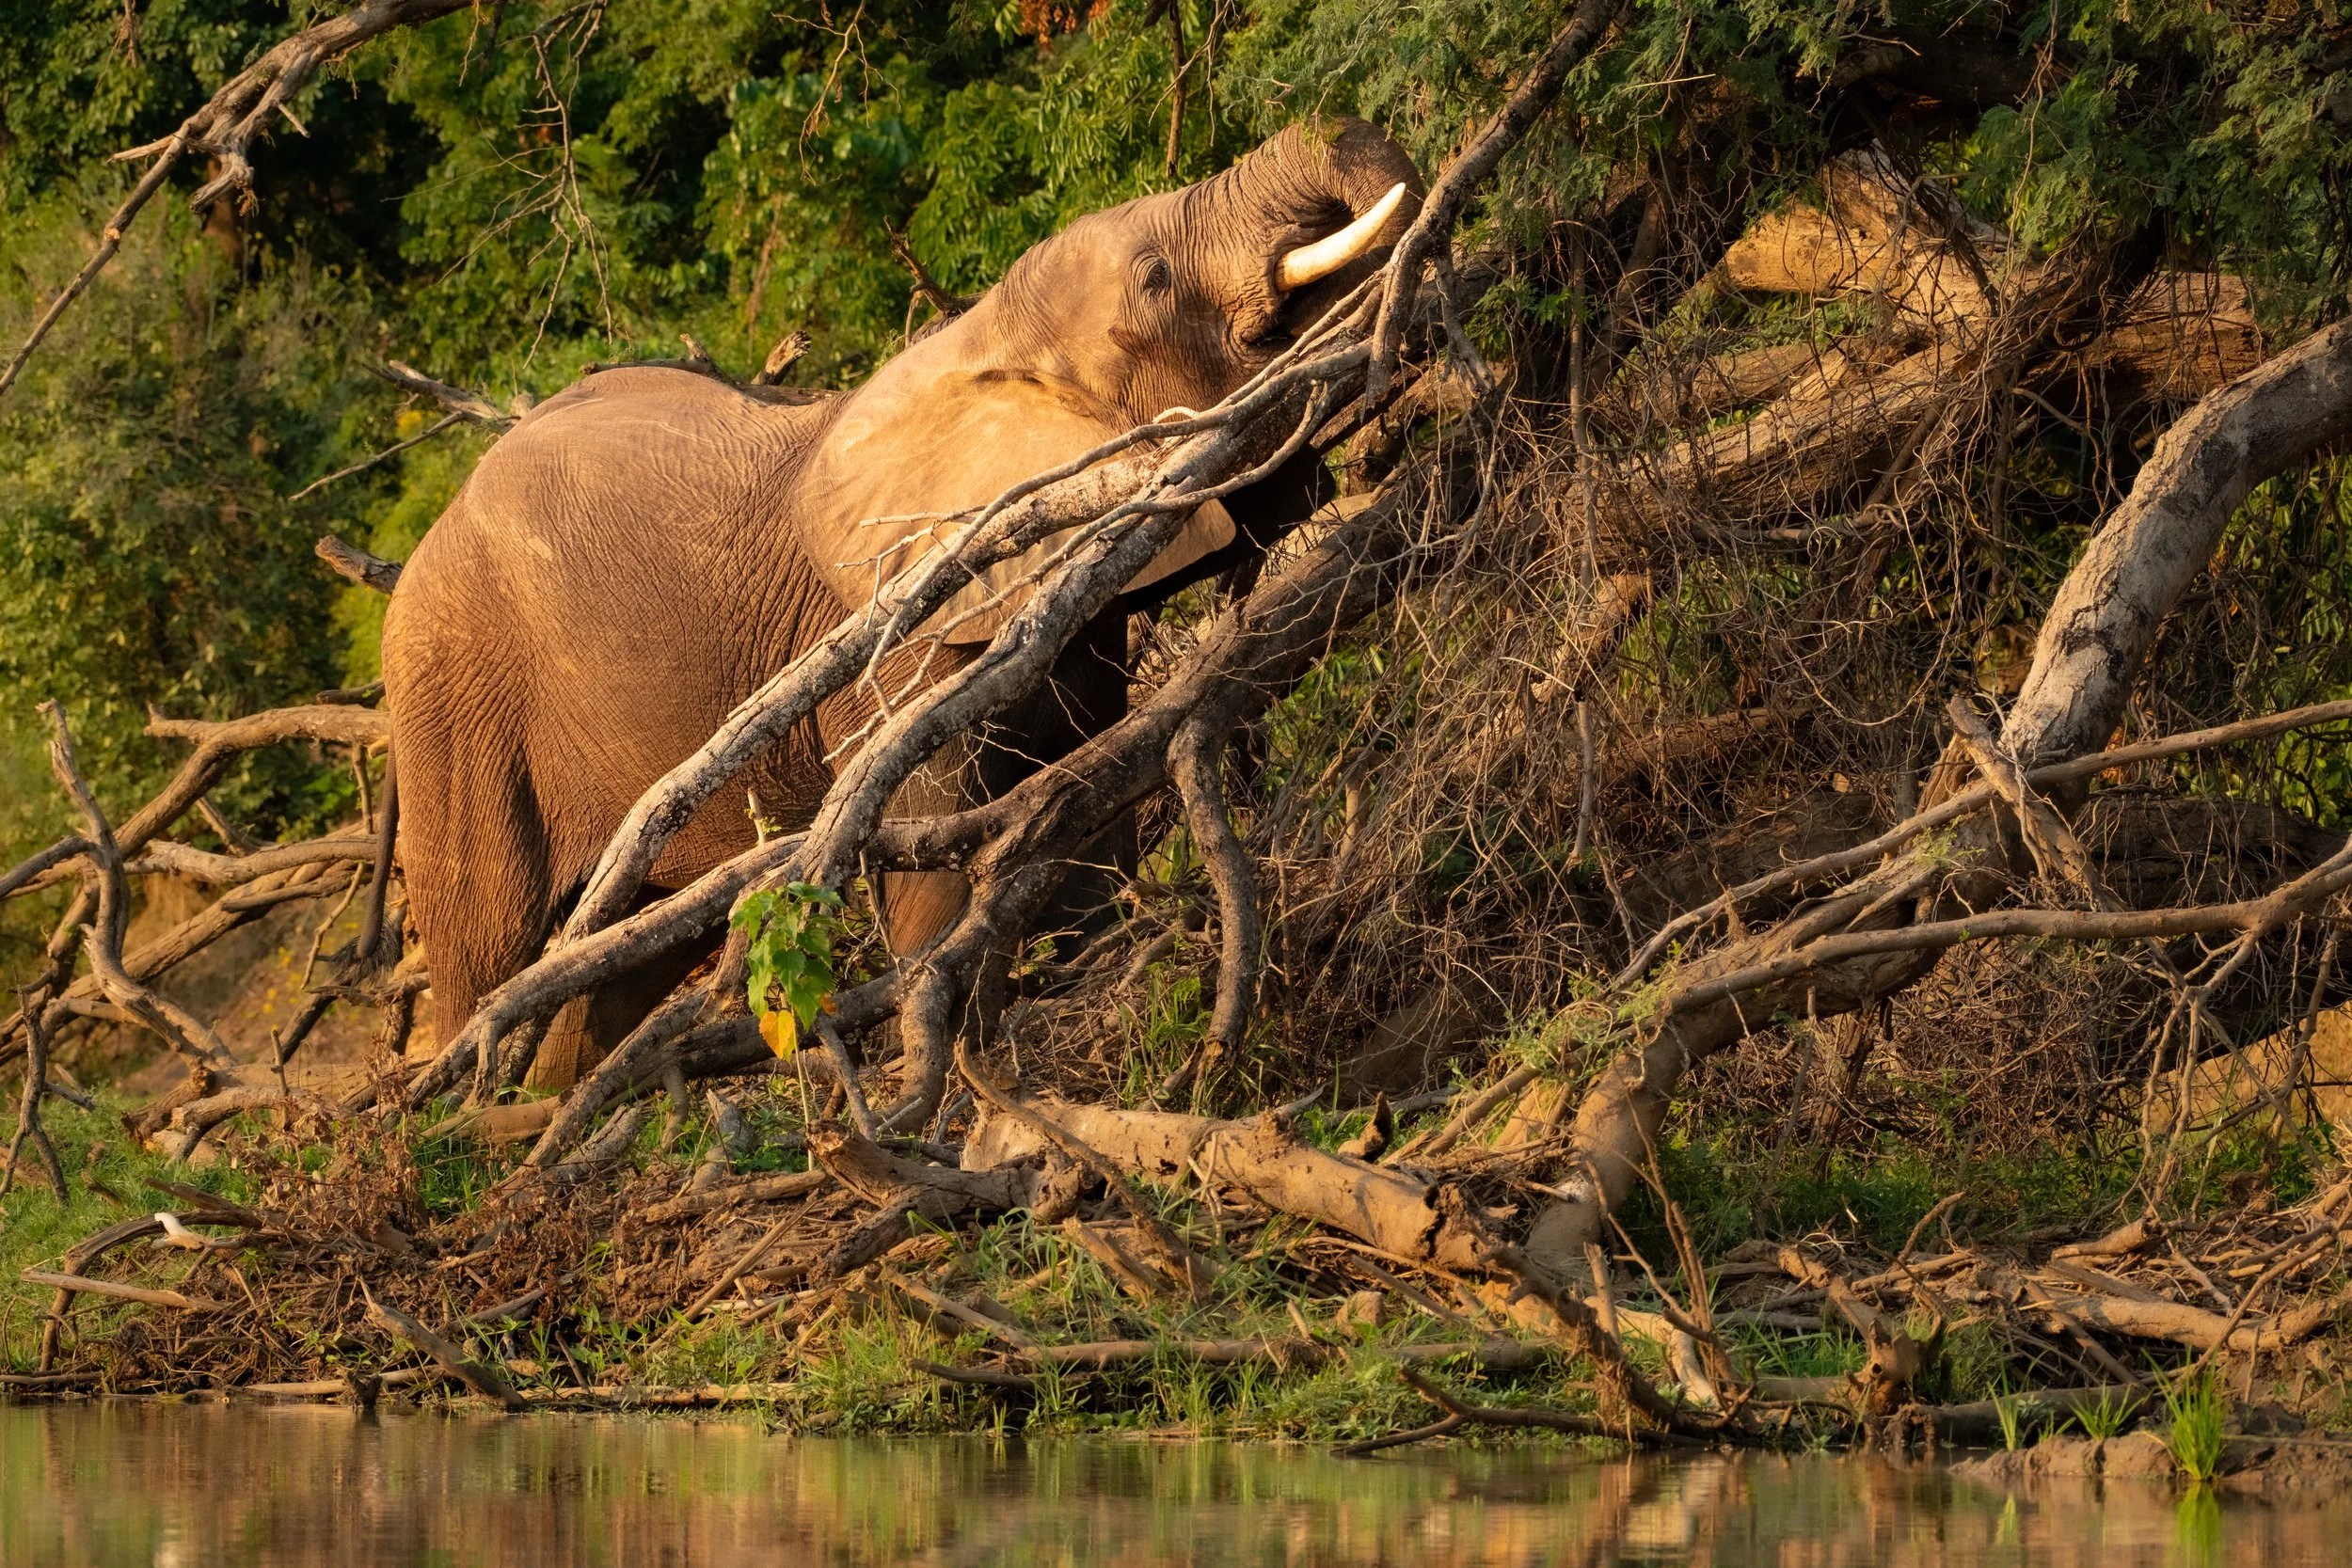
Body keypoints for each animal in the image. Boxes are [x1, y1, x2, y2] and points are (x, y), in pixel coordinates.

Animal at [381, 116, 1423, 1089]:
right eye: (1155, 276)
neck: (981, 338)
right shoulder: (902, 636)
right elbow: (934, 863)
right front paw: (954, 1068)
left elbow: (1082, 811)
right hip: (450, 705)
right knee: (488, 948)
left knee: (626, 962)